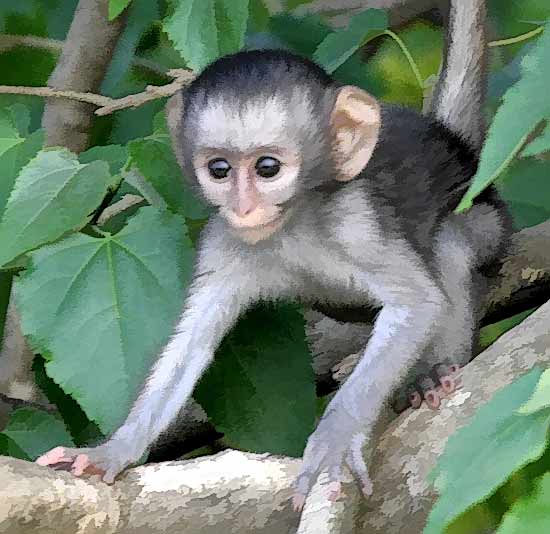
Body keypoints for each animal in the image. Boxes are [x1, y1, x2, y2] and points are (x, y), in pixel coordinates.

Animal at [37, 0, 508, 510]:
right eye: (219, 170)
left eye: (268, 168)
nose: (244, 208)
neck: (293, 227)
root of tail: (456, 146)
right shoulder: (223, 242)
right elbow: (192, 343)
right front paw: (111, 451)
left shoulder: (357, 221)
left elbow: (417, 303)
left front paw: (335, 437)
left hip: (489, 223)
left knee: (449, 245)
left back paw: (432, 373)